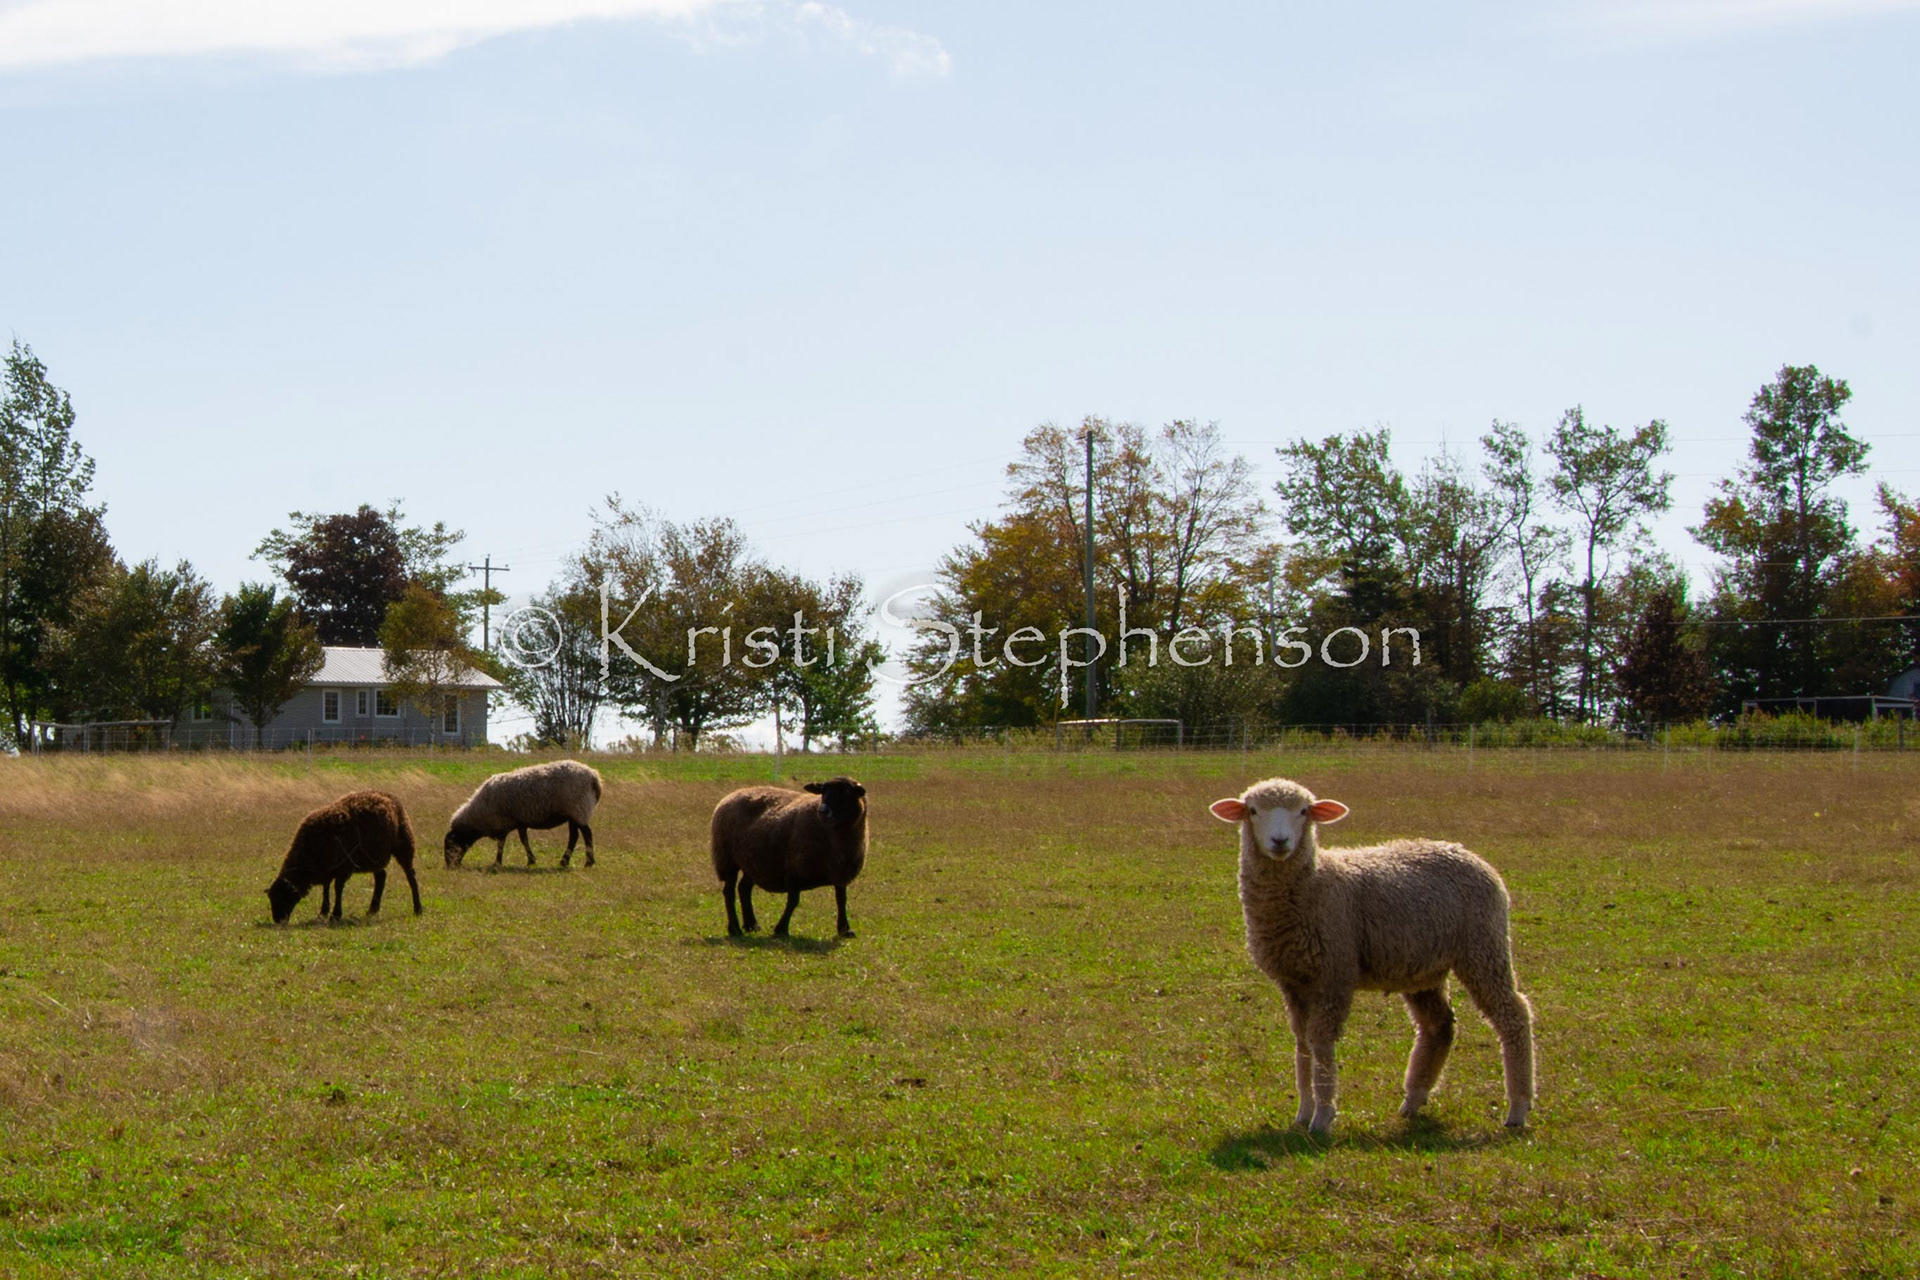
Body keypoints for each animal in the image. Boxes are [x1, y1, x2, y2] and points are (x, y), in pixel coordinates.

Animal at [266, 790, 422, 924]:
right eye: (272, 899)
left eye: (283, 898)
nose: (278, 920)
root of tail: (389, 795)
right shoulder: (327, 868)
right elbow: (326, 887)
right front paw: (323, 912)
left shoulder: (344, 867)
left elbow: (337, 888)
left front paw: (335, 915)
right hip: (373, 856)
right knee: (381, 876)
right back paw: (372, 910)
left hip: (404, 845)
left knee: (411, 876)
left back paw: (418, 909)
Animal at [442, 760, 603, 869]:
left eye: (450, 845)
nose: (450, 866)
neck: (478, 814)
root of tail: (594, 777)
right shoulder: (519, 821)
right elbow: (523, 840)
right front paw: (531, 860)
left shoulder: (501, 822)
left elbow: (501, 843)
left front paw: (497, 862)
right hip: (573, 813)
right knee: (574, 836)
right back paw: (565, 861)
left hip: (579, 808)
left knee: (587, 833)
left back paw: (588, 862)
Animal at [711, 776, 867, 939]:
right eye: (823, 791)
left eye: (847, 791)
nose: (823, 811)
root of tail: (732, 794)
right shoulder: (795, 869)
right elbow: (793, 901)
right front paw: (781, 929)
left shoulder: (840, 874)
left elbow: (841, 900)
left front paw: (845, 929)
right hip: (726, 858)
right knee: (729, 892)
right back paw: (735, 929)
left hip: (753, 861)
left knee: (744, 889)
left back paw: (751, 925)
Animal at [1209, 777, 1534, 1135]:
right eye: (1253, 811)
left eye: (1304, 811)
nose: (1280, 841)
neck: (1315, 883)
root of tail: (1466, 852)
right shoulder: (1293, 981)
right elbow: (1302, 1044)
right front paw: (1303, 1113)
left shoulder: (1334, 973)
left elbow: (1320, 1042)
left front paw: (1322, 1117)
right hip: (1423, 968)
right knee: (1439, 1026)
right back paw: (1413, 1100)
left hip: (1483, 947)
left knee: (1513, 1014)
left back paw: (1518, 1107)